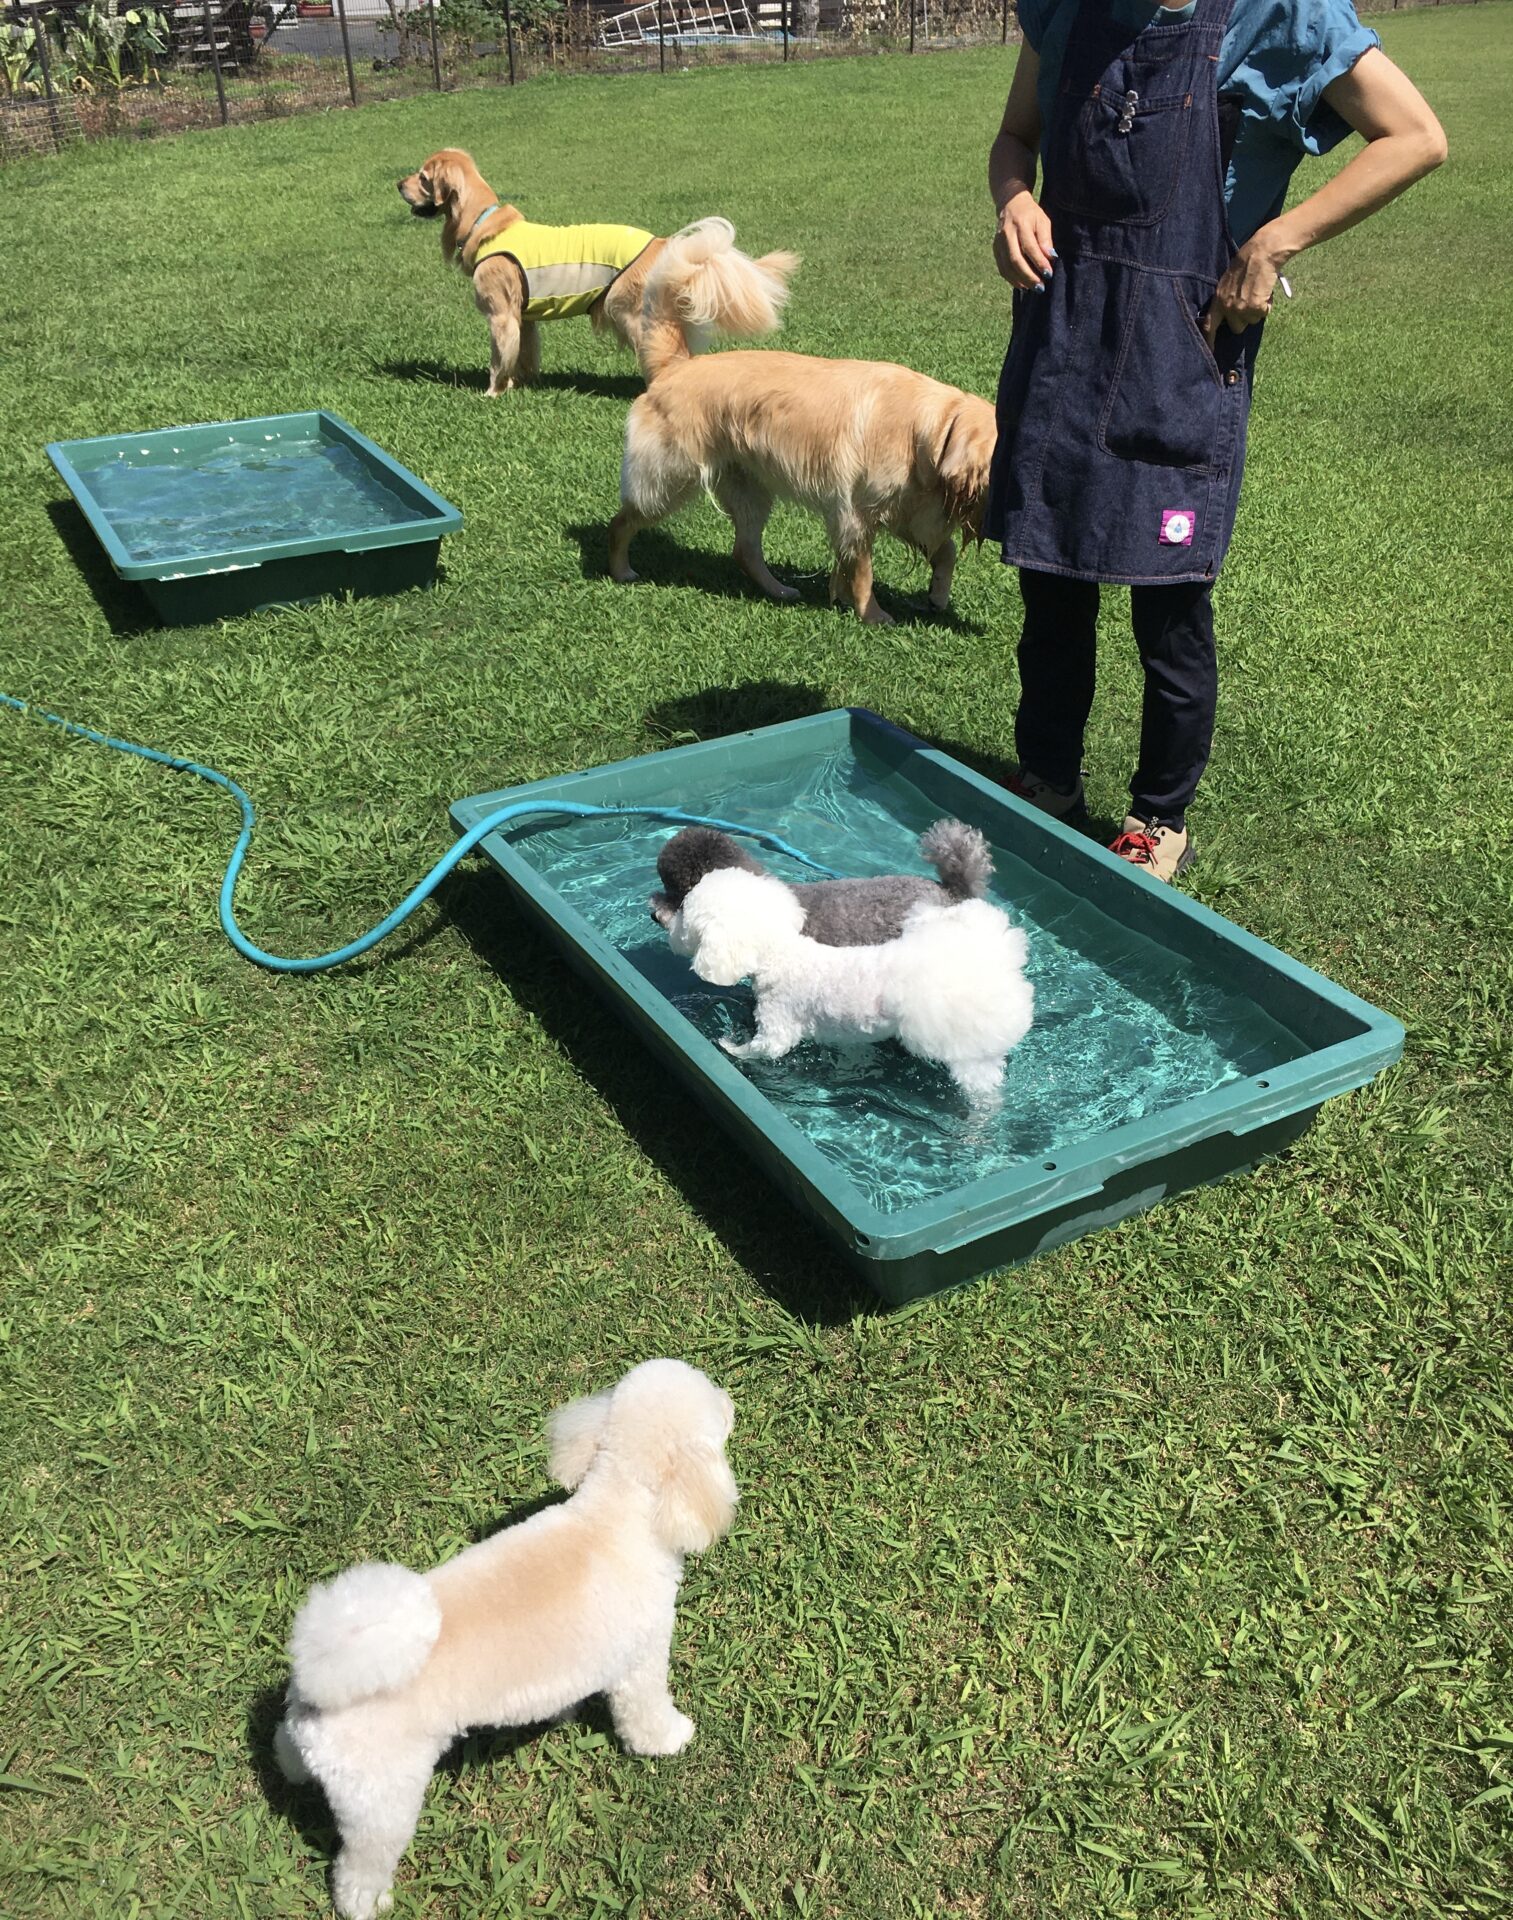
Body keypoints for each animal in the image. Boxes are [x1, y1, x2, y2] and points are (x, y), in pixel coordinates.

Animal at [273, 1359, 737, 1920]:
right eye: (715, 1409)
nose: (732, 1399)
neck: (617, 1514)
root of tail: (329, 1669)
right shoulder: (641, 1660)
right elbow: (647, 1713)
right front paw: (671, 1739)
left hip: (314, 1739)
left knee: (283, 1746)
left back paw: (291, 1772)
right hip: (383, 1801)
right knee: (360, 1866)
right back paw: (368, 1902)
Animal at [397, 149, 798, 395]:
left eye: (422, 177)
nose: (398, 184)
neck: (485, 224)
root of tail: (664, 244)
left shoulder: (500, 316)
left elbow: (499, 359)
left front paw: (492, 392)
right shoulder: (523, 318)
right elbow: (523, 353)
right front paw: (519, 385)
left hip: (628, 310)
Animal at [607, 325, 997, 623]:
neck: (933, 429)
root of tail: (673, 367)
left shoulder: (903, 511)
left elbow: (945, 550)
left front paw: (937, 595)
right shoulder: (856, 514)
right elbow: (864, 573)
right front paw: (872, 615)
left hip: (748, 489)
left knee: (744, 549)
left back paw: (779, 589)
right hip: (669, 480)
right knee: (622, 521)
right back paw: (620, 569)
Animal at [666, 867, 1033, 1109]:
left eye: (686, 914)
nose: (667, 927)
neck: (782, 954)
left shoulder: (778, 1026)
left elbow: (763, 1050)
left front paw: (729, 1046)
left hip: (969, 1054)